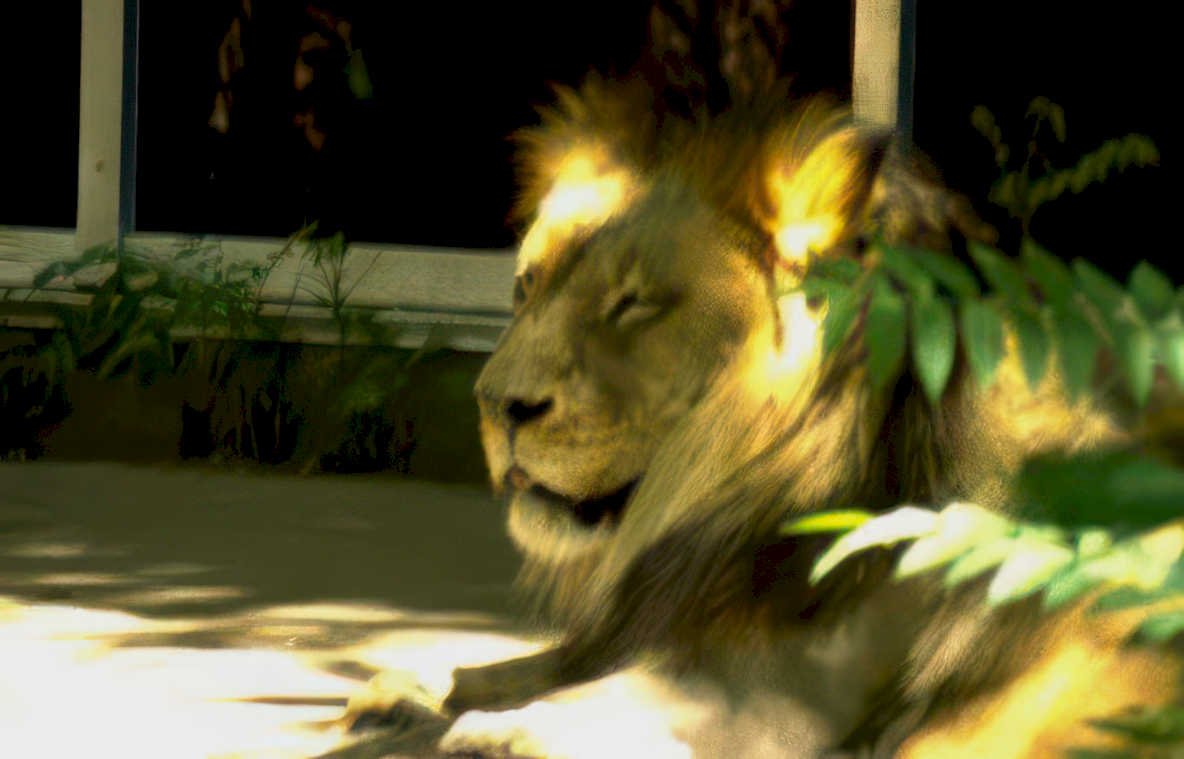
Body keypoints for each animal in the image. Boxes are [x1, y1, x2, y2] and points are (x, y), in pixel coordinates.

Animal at [345, 75, 1181, 758]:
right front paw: (406, 688)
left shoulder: (781, 701)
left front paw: (506, 727)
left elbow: (617, 692)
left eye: (633, 302)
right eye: (526, 286)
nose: (496, 404)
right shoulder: (661, 616)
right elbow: (524, 661)